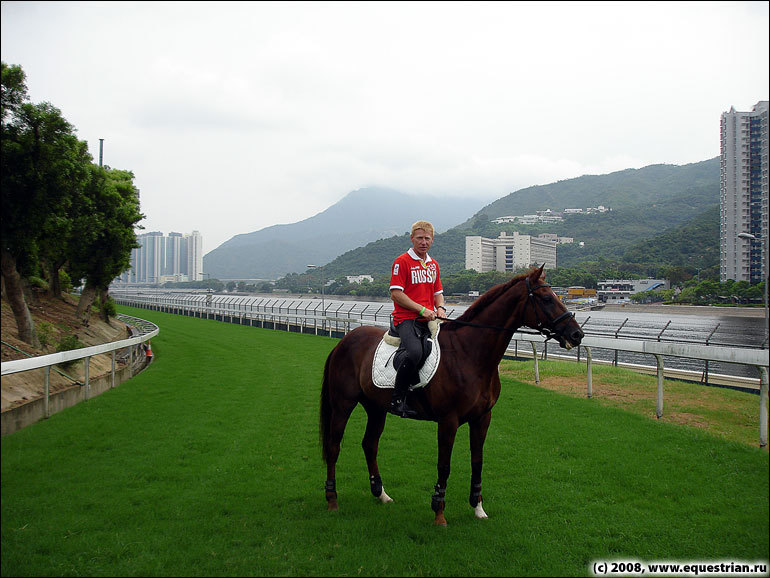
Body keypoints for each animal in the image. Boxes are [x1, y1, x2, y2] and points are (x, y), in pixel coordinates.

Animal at [318, 264, 584, 520]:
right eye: (546, 298)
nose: (577, 334)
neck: (470, 353)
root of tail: (343, 342)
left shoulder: (482, 418)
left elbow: (477, 461)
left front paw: (478, 508)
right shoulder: (448, 420)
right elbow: (444, 465)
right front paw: (439, 512)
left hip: (376, 408)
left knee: (370, 444)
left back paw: (381, 493)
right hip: (343, 404)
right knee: (334, 446)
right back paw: (331, 499)